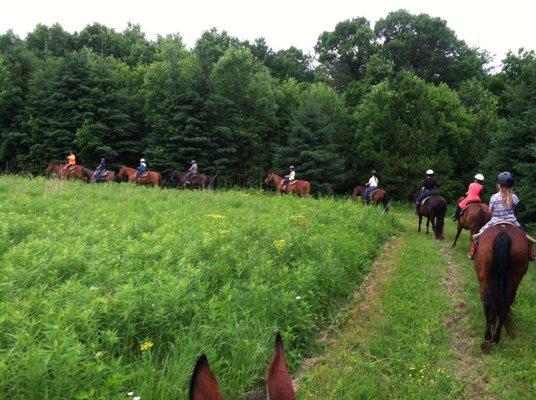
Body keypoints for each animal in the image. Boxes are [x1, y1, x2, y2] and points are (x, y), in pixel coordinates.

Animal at [474, 225, 528, 354]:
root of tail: (503, 234)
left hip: (484, 280)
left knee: (487, 303)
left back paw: (489, 337)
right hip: (514, 281)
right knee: (505, 305)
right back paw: (496, 337)